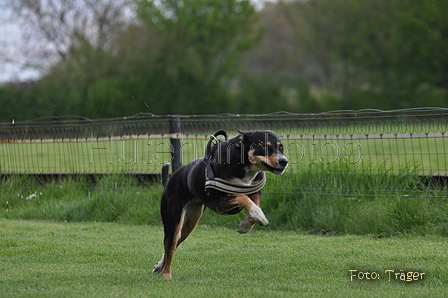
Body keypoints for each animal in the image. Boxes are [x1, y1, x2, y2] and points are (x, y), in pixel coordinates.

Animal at [153, 129, 288, 278]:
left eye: (281, 147)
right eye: (264, 147)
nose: (284, 161)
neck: (241, 163)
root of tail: (169, 182)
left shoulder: (255, 193)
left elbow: (253, 206)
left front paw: (245, 225)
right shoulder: (220, 203)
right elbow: (242, 197)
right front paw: (258, 216)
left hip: (190, 222)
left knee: (175, 243)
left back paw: (159, 266)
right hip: (173, 220)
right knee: (170, 246)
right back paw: (166, 274)